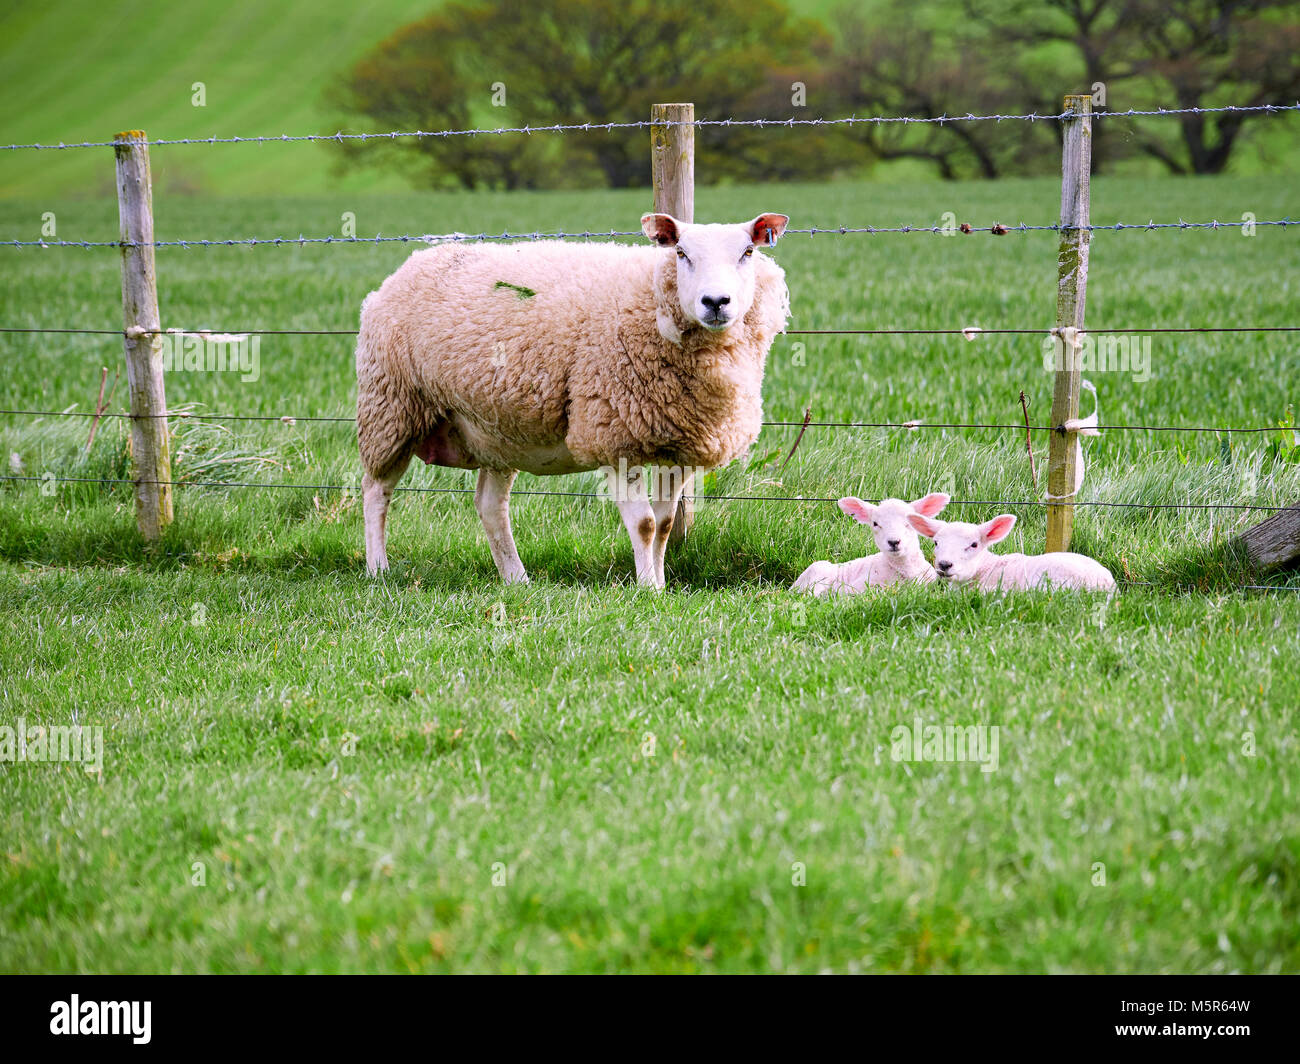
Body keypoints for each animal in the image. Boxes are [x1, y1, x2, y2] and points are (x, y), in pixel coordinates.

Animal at [351, 210, 790, 585]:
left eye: (748, 253)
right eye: (681, 252)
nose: (715, 302)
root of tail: (413, 263)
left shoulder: (680, 444)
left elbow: (665, 525)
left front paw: (661, 584)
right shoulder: (614, 435)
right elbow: (645, 524)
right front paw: (647, 589)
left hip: (496, 428)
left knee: (490, 506)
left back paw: (516, 579)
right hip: (391, 406)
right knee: (376, 491)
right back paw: (378, 569)